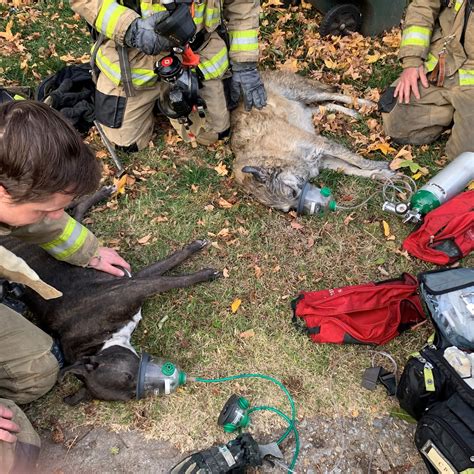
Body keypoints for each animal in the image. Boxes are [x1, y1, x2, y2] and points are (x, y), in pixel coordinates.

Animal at [231, 70, 394, 211]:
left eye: (292, 193)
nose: (317, 208)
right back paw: (352, 112)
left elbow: (359, 162)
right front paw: (383, 174)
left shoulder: (320, 143)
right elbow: (353, 170)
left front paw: (383, 166)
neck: (276, 155)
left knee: (332, 94)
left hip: (305, 94)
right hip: (304, 108)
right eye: (289, 209)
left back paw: (366, 103)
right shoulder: (323, 160)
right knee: (326, 105)